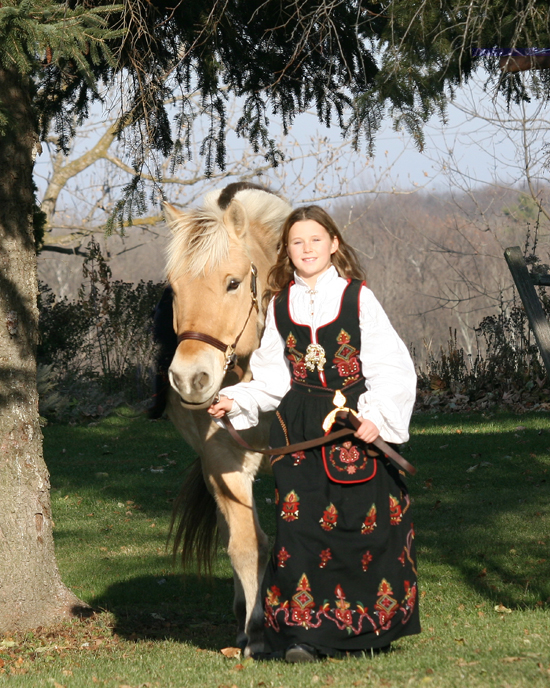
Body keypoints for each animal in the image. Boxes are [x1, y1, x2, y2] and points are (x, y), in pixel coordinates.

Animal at [164, 183, 294, 656]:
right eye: (174, 289)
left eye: (232, 283)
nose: (190, 378)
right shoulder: (222, 461)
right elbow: (245, 545)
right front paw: (254, 631)